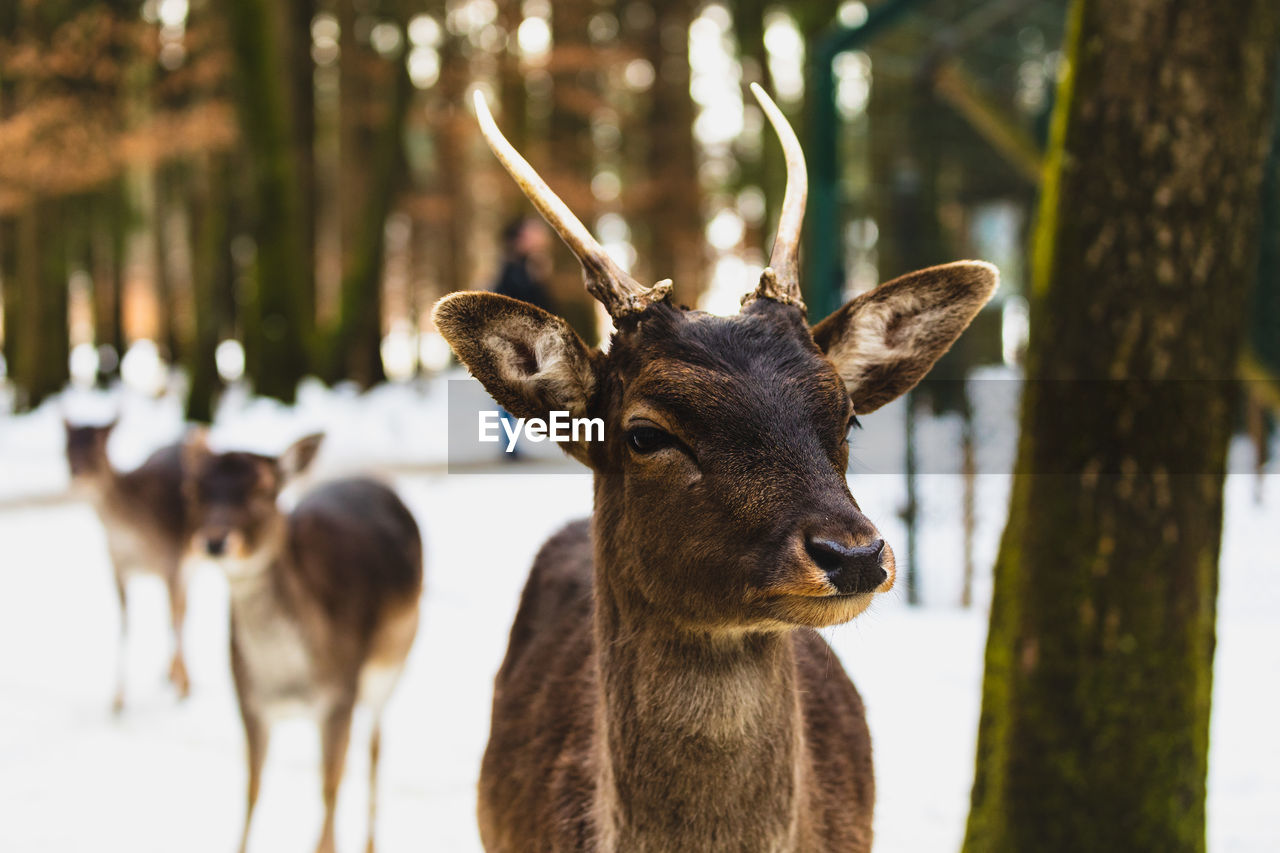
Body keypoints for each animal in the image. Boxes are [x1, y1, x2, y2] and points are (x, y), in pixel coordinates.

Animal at [64, 417, 193, 712]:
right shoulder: (117, 568)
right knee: (179, 608)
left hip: (193, 557)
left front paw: (184, 689)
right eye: (67, 446)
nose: (77, 475)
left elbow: (174, 620)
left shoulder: (172, 560)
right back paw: (169, 673)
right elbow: (125, 625)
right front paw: (118, 699)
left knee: (180, 611)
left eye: (99, 446)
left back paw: (180, 677)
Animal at [183, 432, 422, 850]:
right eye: (194, 489)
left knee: (374, 745)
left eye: (263, 489)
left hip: (393, 662)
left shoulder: (341, 695)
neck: (290, 682)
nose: (214, 541)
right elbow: (253, 788)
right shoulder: (248, 699)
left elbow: (330, 786)